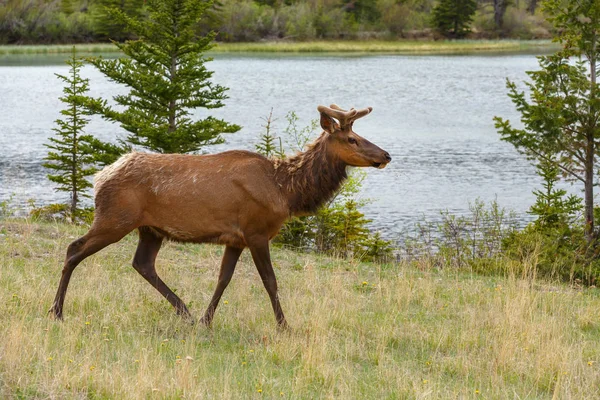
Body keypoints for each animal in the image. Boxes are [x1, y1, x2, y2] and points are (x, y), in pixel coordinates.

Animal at [49, 104, 392, 328]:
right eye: (352, 139)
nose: (386, 155)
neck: (287, 191)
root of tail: (100, 177)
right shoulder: (256, 231)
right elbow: (270, 281)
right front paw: (284, 326)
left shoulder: (235, 239)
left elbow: (223, 278)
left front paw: (206, 320)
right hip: (115, 218)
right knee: (74, 249)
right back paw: (56, 311)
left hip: (150, 228)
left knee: (142, 264)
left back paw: (185, 312)